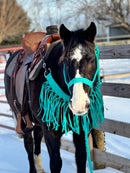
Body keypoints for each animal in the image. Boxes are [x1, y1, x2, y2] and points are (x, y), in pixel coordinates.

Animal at [4, 22, 103, 172]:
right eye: (65, 61)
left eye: (92, 59)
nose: (78, 105)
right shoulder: (51, 132)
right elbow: (56, 163)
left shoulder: (81, 130)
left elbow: (81, 159)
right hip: (23, 119)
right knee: (29, 145)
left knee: (37, 138)